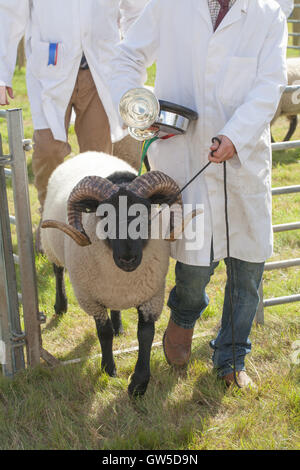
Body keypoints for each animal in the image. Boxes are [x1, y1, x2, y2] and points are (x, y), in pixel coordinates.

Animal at [40, 151, 195, 396]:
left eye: (146, 212)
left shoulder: (152, 296)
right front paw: (108, 368)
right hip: (50, 245)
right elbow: (104, 333)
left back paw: (119, 325)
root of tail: (88, 153)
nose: (128, 258)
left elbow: (146, 335)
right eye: (104, 215)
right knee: (57, 270)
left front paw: (139, 383)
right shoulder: (91, 299)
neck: (123, 279)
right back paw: (61, 305)